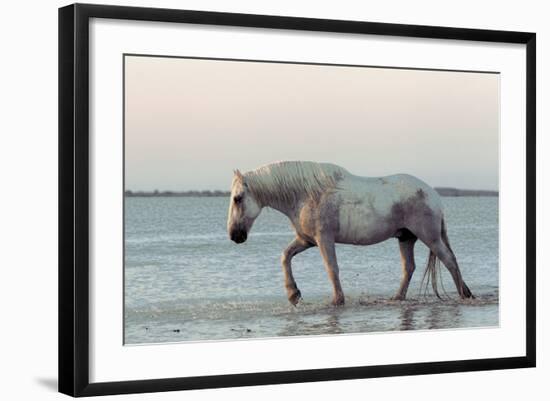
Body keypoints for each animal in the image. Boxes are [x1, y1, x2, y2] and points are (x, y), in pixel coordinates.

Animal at [229, 161, 474, 304]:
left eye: (238, 198)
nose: (234, 235)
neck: (307, 195)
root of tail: (434, 196)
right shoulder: (306, 240)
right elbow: (285, 256)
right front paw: (293, 294)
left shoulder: (324, 239)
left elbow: (332, 268)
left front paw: (337, 300)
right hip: (406, 238)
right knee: (409, 268)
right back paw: (398, 297)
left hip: (429, 237)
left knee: (449, 260)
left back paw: (464, 295)